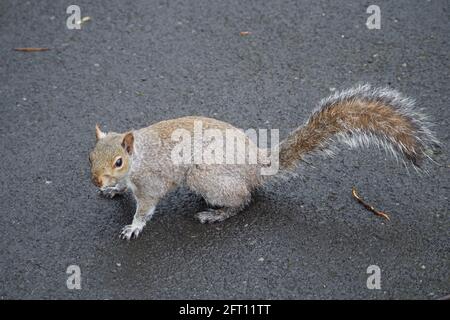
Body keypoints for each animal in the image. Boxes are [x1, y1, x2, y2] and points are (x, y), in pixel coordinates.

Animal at [89, 85, 438, 240]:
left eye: (118, 161)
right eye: (90, 155)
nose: (96, 180)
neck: (138, 157)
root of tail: (256, 165)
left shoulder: (150, 183)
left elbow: (146, 207)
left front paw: (134, 226)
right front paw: (112, 191)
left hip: (207, 178)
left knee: (243, 200)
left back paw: (216, 214)